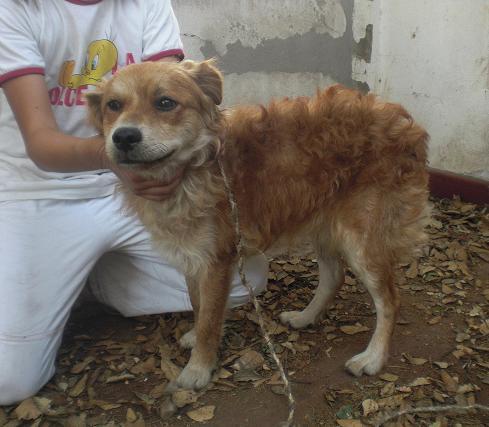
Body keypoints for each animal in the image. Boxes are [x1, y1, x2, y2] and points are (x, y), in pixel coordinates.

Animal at [86, 60, 428, 392]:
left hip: (361, 241)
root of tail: (406, 123)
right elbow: (197, 305)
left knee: (390, 300)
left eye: (165, 103)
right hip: (324, 222)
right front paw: (195, 338)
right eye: (113, 105)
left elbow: (209, 318)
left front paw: (198, 368)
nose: (124, 137)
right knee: (334, 276)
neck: (197, 167)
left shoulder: (217, 261)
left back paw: (373, 357)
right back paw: (305, 317)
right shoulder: (194, 255)